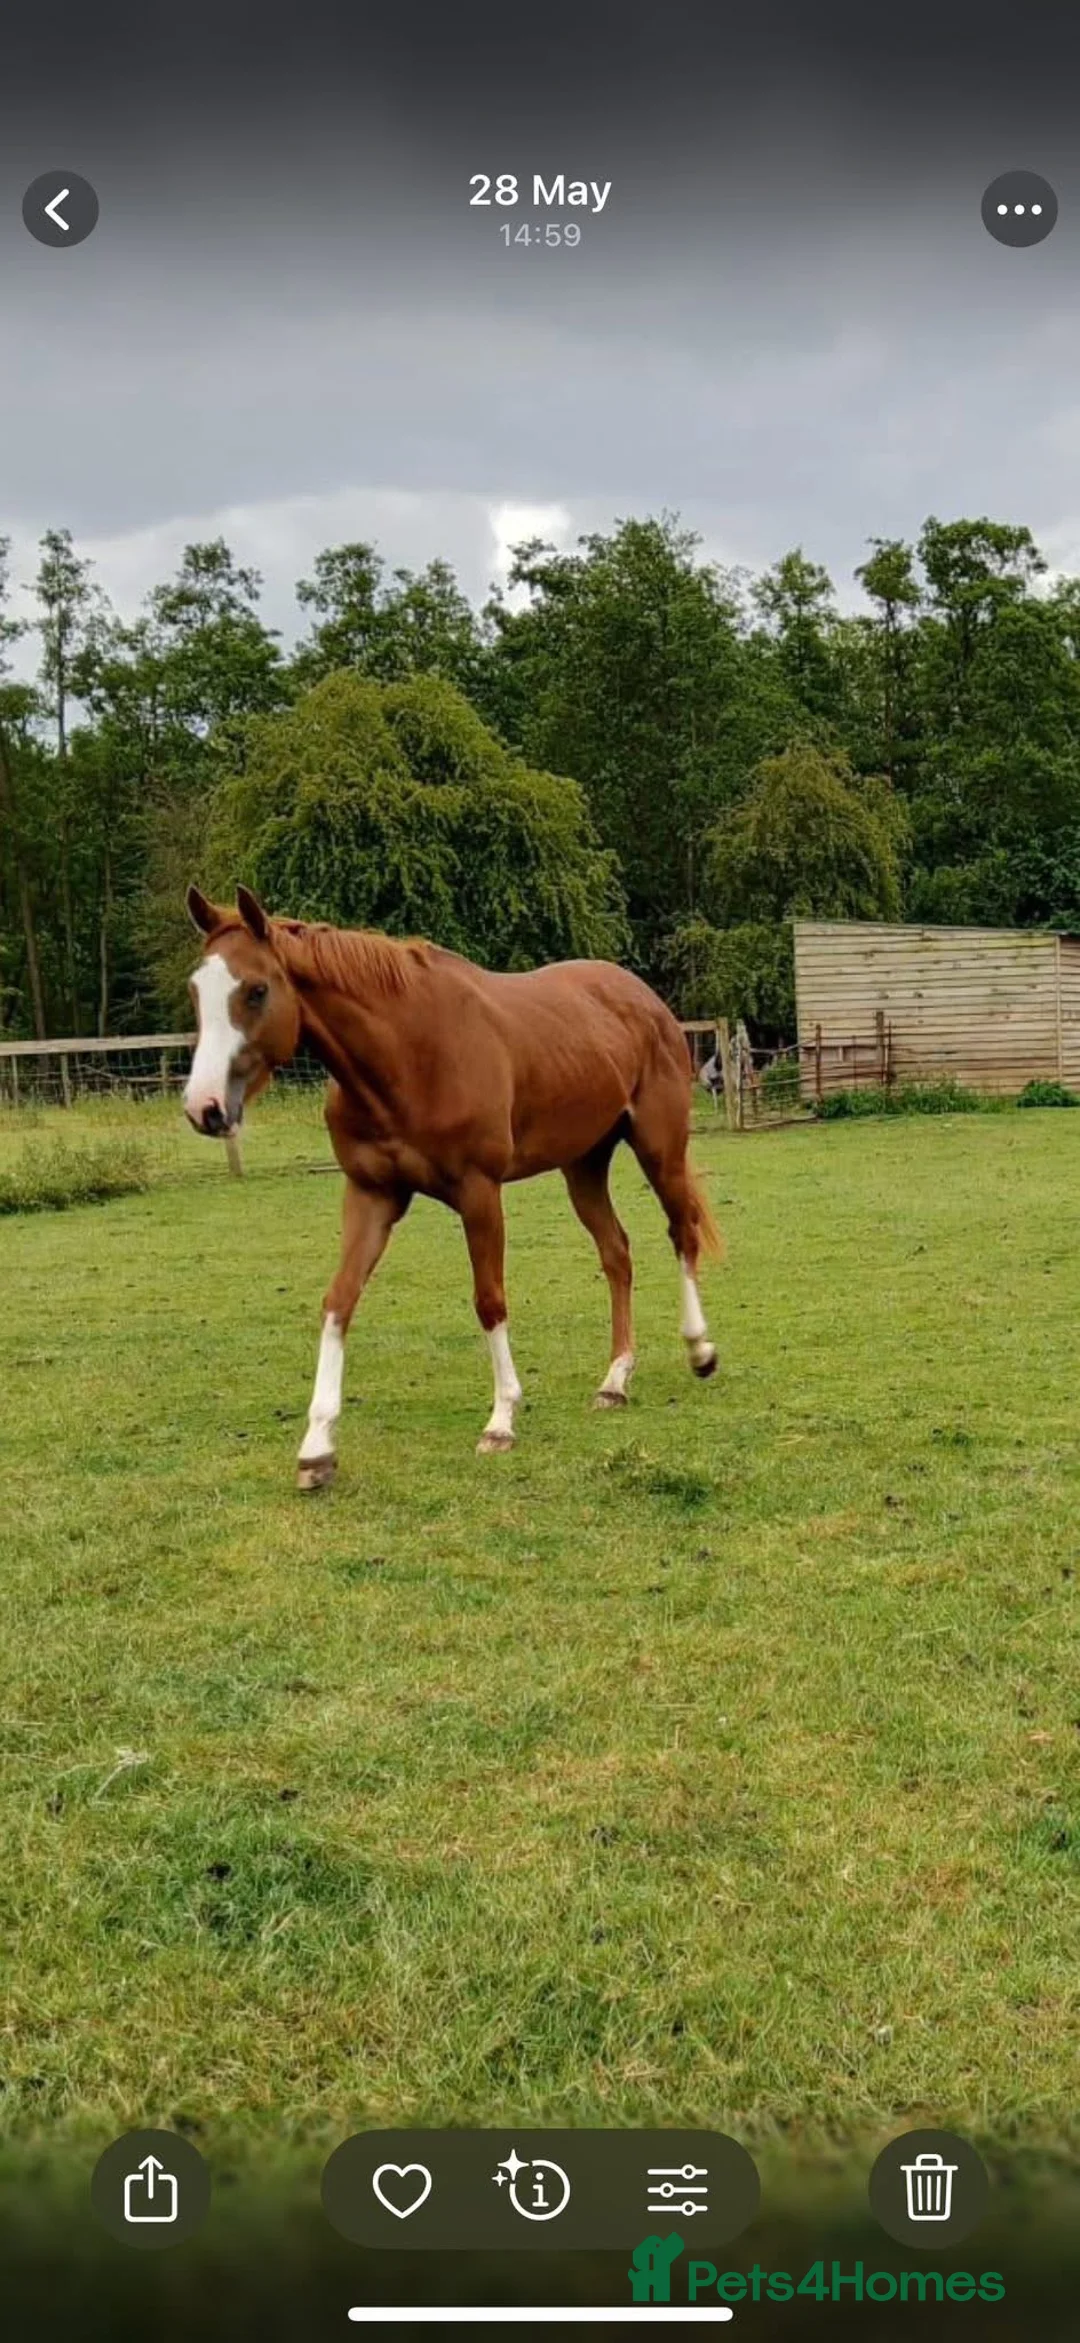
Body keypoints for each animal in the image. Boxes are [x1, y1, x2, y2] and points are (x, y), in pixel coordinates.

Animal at [182, 885, 721, 1488]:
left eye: (256, 990)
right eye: (196, 991)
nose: (204, 1107)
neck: (407, 1055)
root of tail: (644, 999)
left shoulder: (479, 1191)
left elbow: (489, 1300)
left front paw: (501, 1420)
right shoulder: (370, 1195)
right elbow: (339, 1301)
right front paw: (317, 1447)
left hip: (659, 1149)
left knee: (681, 1232)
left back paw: (700, 1350)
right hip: (584, 1165)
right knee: (617, 1253)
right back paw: (615, 1381)